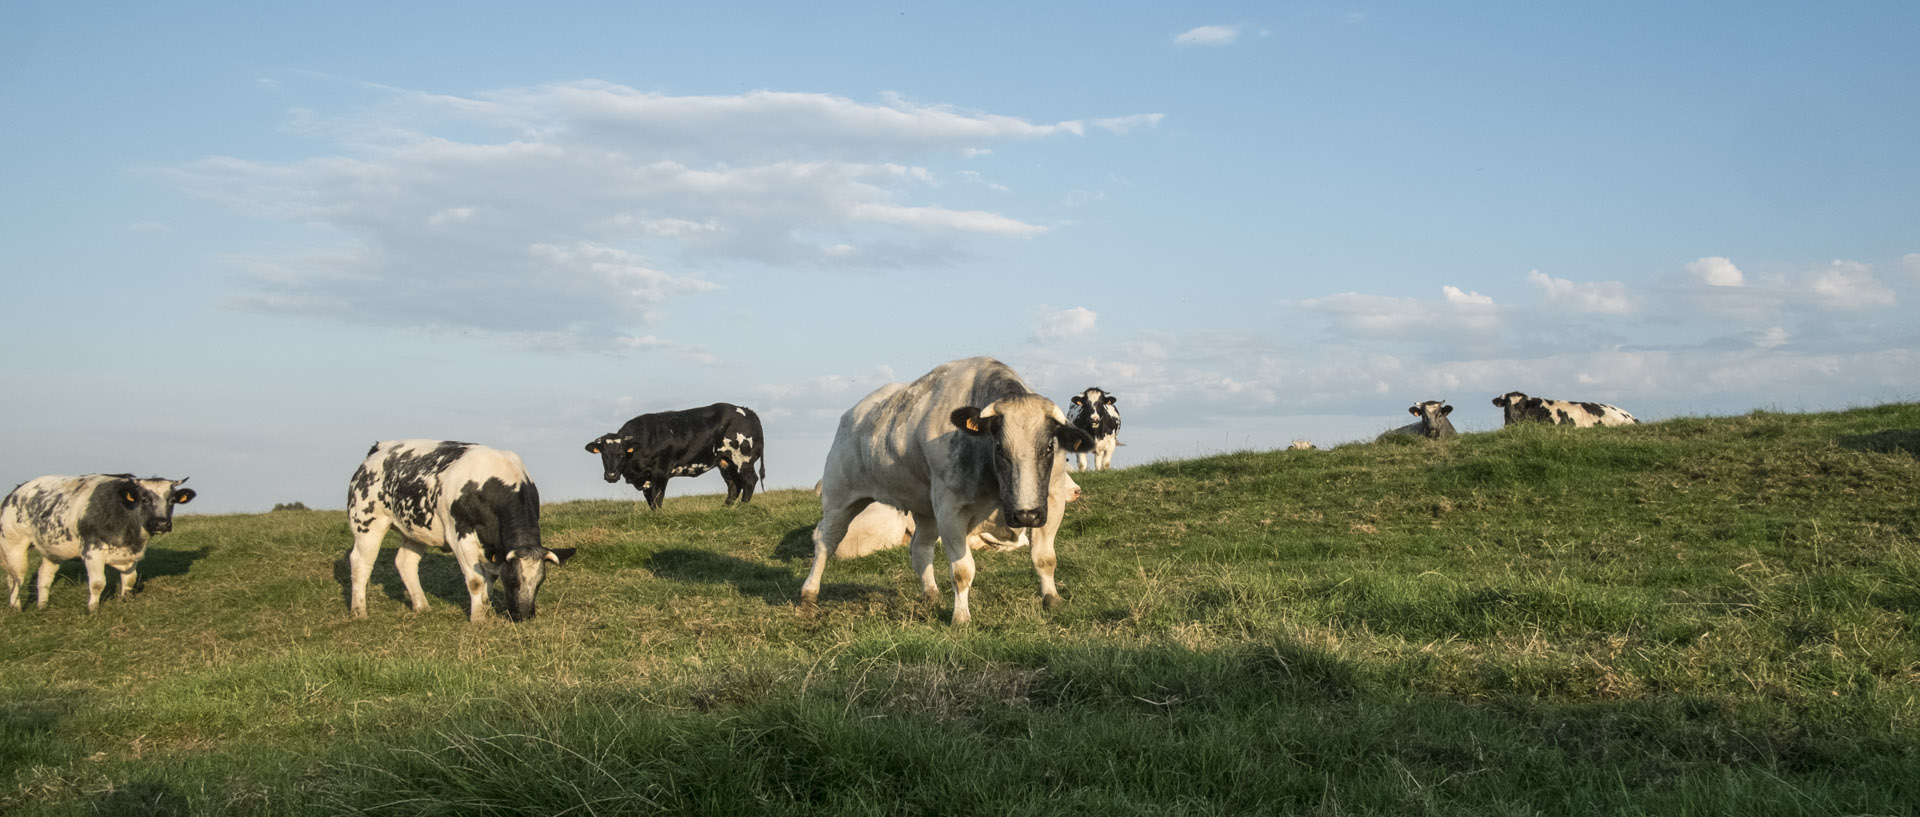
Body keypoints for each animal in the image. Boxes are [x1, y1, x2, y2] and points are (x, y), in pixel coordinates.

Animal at [3, 471, 194, 613]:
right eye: (145, 499)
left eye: (172, 500)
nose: (161, 523)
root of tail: (16, 491)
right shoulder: (92, 550)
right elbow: (97, 583)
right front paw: (92, 609)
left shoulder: (132, 554)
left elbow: (130, 579)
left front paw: (125, 601)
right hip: (13, 545)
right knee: (16, 578)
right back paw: (16, 608)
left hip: (51, 550)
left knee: (44, 575)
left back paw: (42, 606)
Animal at [347, 443, 572, 621]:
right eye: (513, 580)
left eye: (540, 582)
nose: (524, 616)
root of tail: (379, 449)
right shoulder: (461, 535)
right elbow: (476, 580)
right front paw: (478, 617)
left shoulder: (494, 545)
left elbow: (491, 575)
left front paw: (486, 603)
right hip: (367, 523)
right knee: (360, 563)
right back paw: (359, 611)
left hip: (416, 530)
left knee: (405, 562)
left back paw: (422, 606)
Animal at [583, 404, 764, 510]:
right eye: (604, 455)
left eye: (621, 454)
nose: (611, 475)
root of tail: (747, 410)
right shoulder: (646, 479)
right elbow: (650, 500)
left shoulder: (661, 471)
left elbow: (657, 497)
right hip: (725, 462)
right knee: (734, 485)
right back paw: (724, 509)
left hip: (743, 459)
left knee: (749, 480)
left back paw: (742, 507)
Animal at [798, 356, 1098, 625]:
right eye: (999, 448)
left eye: (1048, 448)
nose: (1024, 515)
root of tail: (854, 414)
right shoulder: (951, 509)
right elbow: (962, 570)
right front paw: (961, 617)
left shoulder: (1051, 501)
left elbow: (1045, 558)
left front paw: (1052, 599)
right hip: (840, 497)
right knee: (825, 540)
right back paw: (809, 592)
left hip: (924, 508)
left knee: (920, 548)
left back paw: (930, 594)